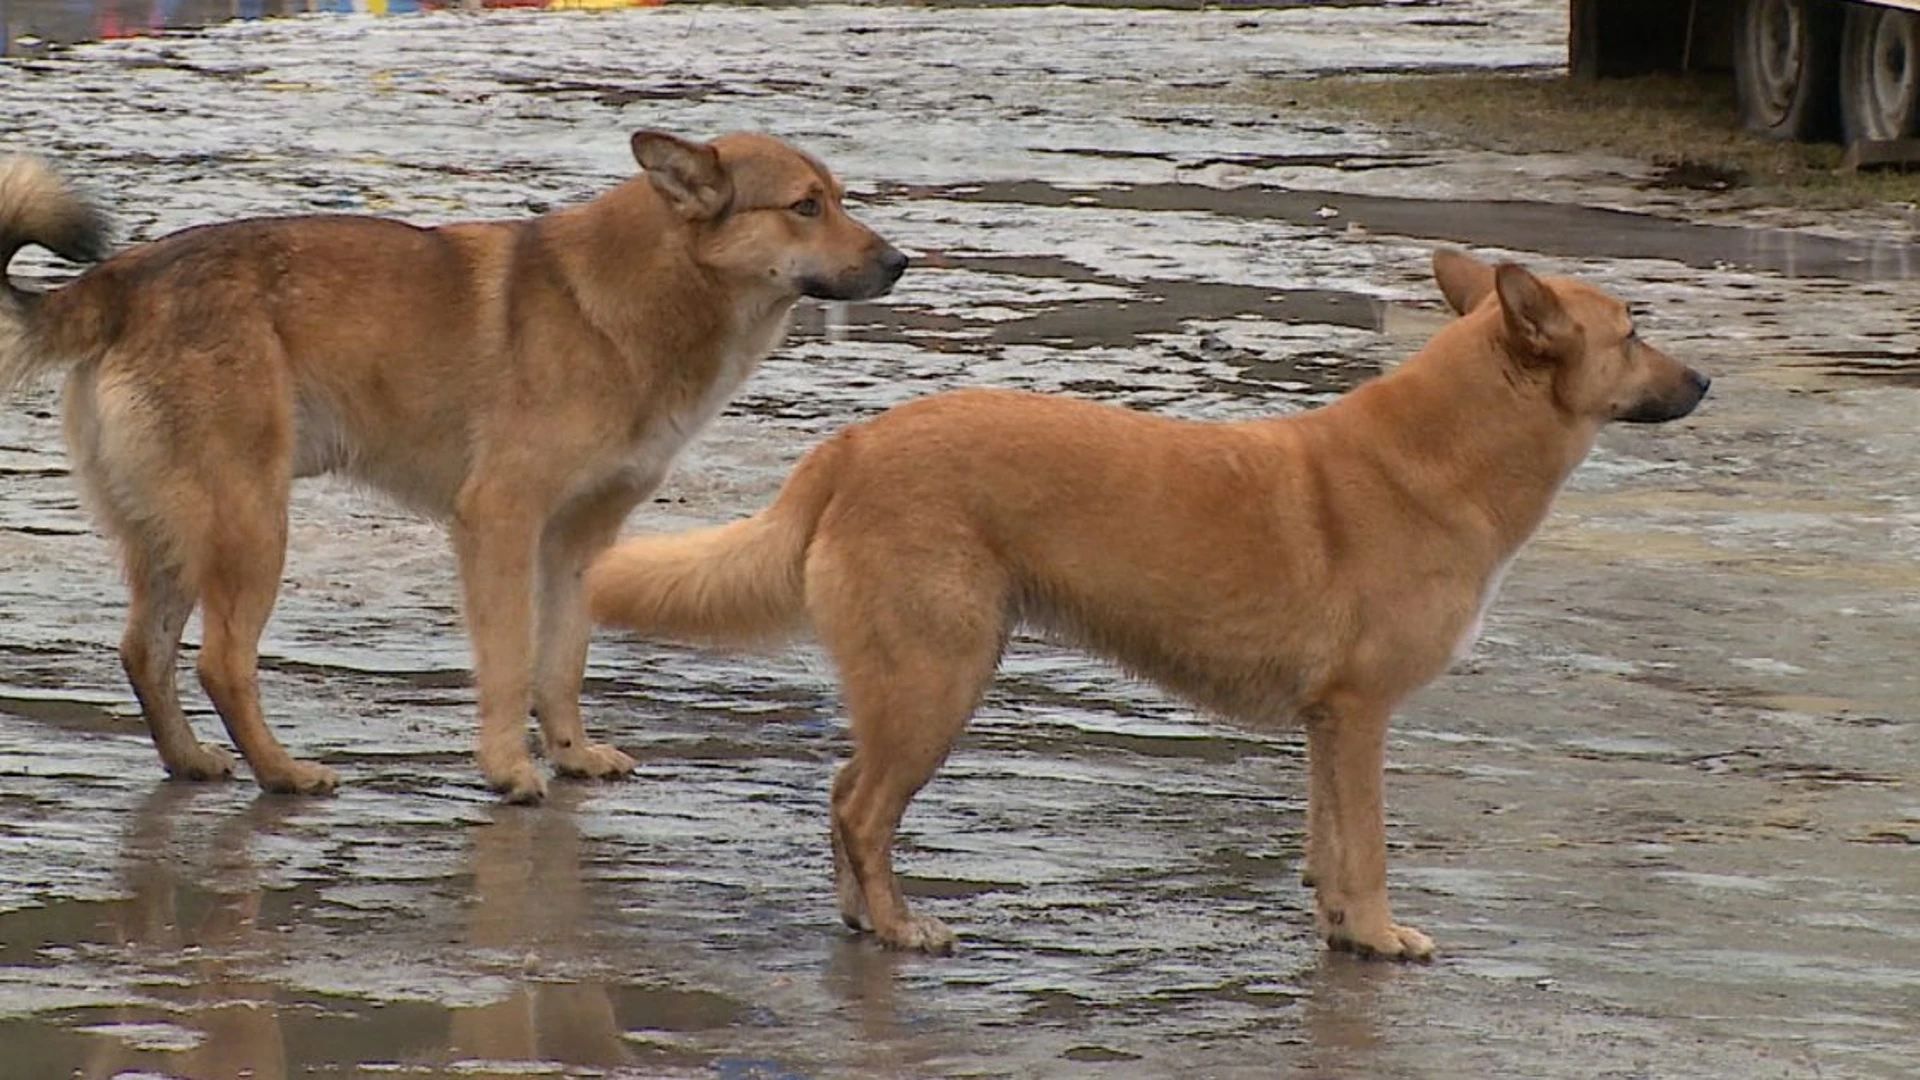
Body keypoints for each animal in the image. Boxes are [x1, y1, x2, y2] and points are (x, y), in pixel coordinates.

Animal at [0, 130, 906, 799]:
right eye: (805, 205)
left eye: (839, 198)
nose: (900, 263)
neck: (636, 298)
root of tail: (123, 279)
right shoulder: (499, 522)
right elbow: (509, 661)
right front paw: (508, 770)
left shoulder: (578, 542)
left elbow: (562, 661)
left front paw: (570, 753)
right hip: (251, 527)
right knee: (221, 663)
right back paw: (283, 773)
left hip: (177, 535)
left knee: (142, 651)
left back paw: (190, 760)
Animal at [583, 247, 1712, 953]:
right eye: (1633, 331)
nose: (1704, 383)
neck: (1448, 453)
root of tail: (853, 445)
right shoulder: (1361, 717)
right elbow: (1369, 848)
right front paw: (1380, 935)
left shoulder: (1327, 726)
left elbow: (1326, 845)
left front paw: (1340, 929)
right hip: (939, 684)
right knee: (862, 809)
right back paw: (902, 926)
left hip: (916, 686)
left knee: (839, 798)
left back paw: (864, 918)